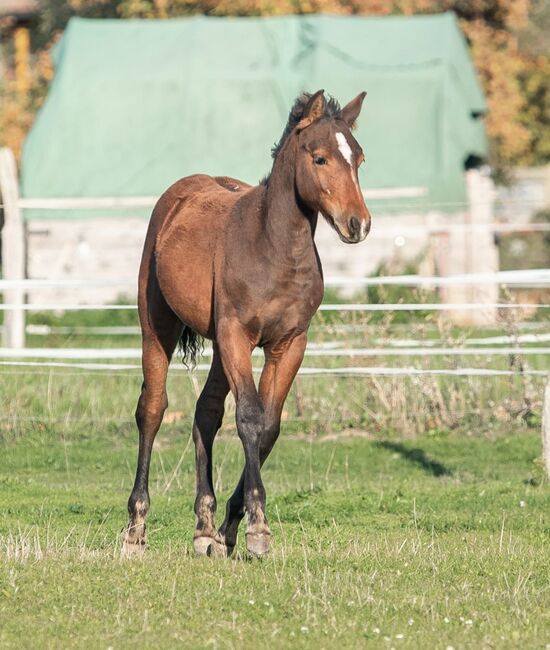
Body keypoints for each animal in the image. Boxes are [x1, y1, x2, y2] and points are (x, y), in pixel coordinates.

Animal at [123, 87, 374, 556]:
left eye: (360, 158)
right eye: (320, 158)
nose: (358, 224)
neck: (273, 249)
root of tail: (180, 193)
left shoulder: (290, 343)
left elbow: (269, 426)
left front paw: (228, 528)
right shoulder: (238, 336)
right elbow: (250, 418)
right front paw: (258, 529)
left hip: (220, 348)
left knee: (205, 413)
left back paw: (204, 529)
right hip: (159, 327)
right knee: (152, 409)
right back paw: (135, 529)